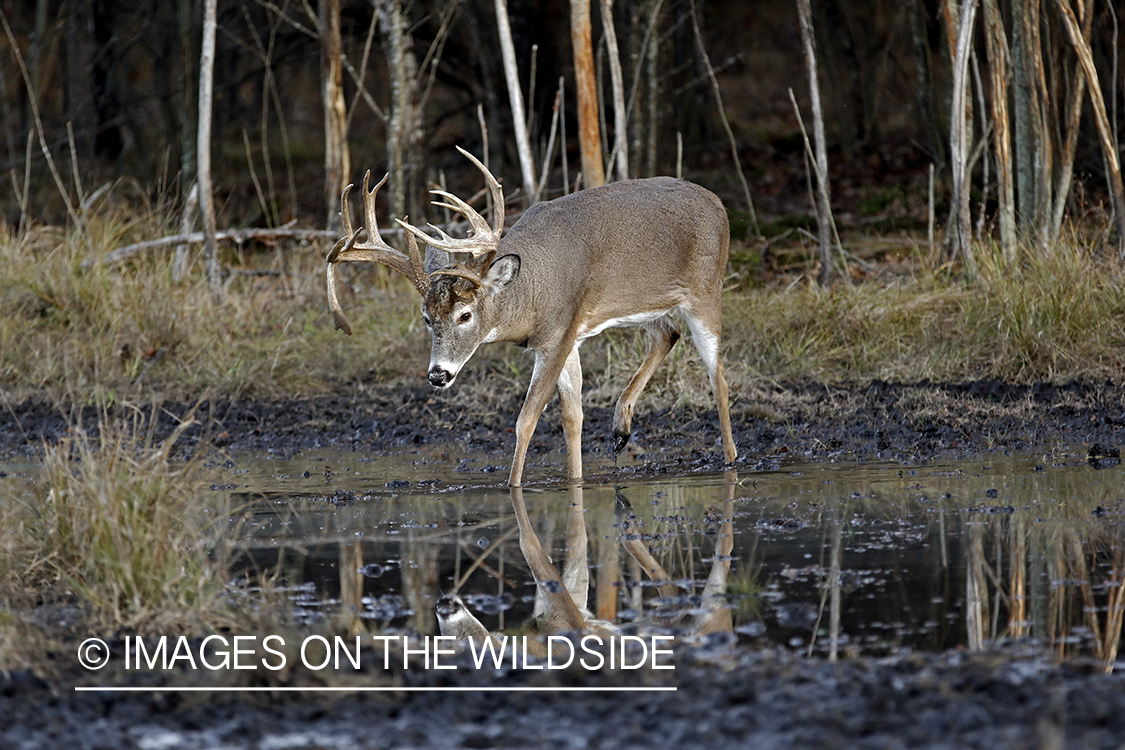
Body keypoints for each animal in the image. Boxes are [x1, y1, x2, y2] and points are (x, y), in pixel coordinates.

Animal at [328, 146, 738, 488]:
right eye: (427, 318)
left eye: (464, 315)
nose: (438, 374)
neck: (531, 292)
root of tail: (719, 203)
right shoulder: (567, 336)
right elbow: (572, 417)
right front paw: (575, 480)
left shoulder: (557, 335)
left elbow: (526, 420)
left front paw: (512, 486)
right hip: (644, 304)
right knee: (668, 332)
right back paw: (621, 427)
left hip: (706, 289)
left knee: (718, 376)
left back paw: (731, 460)